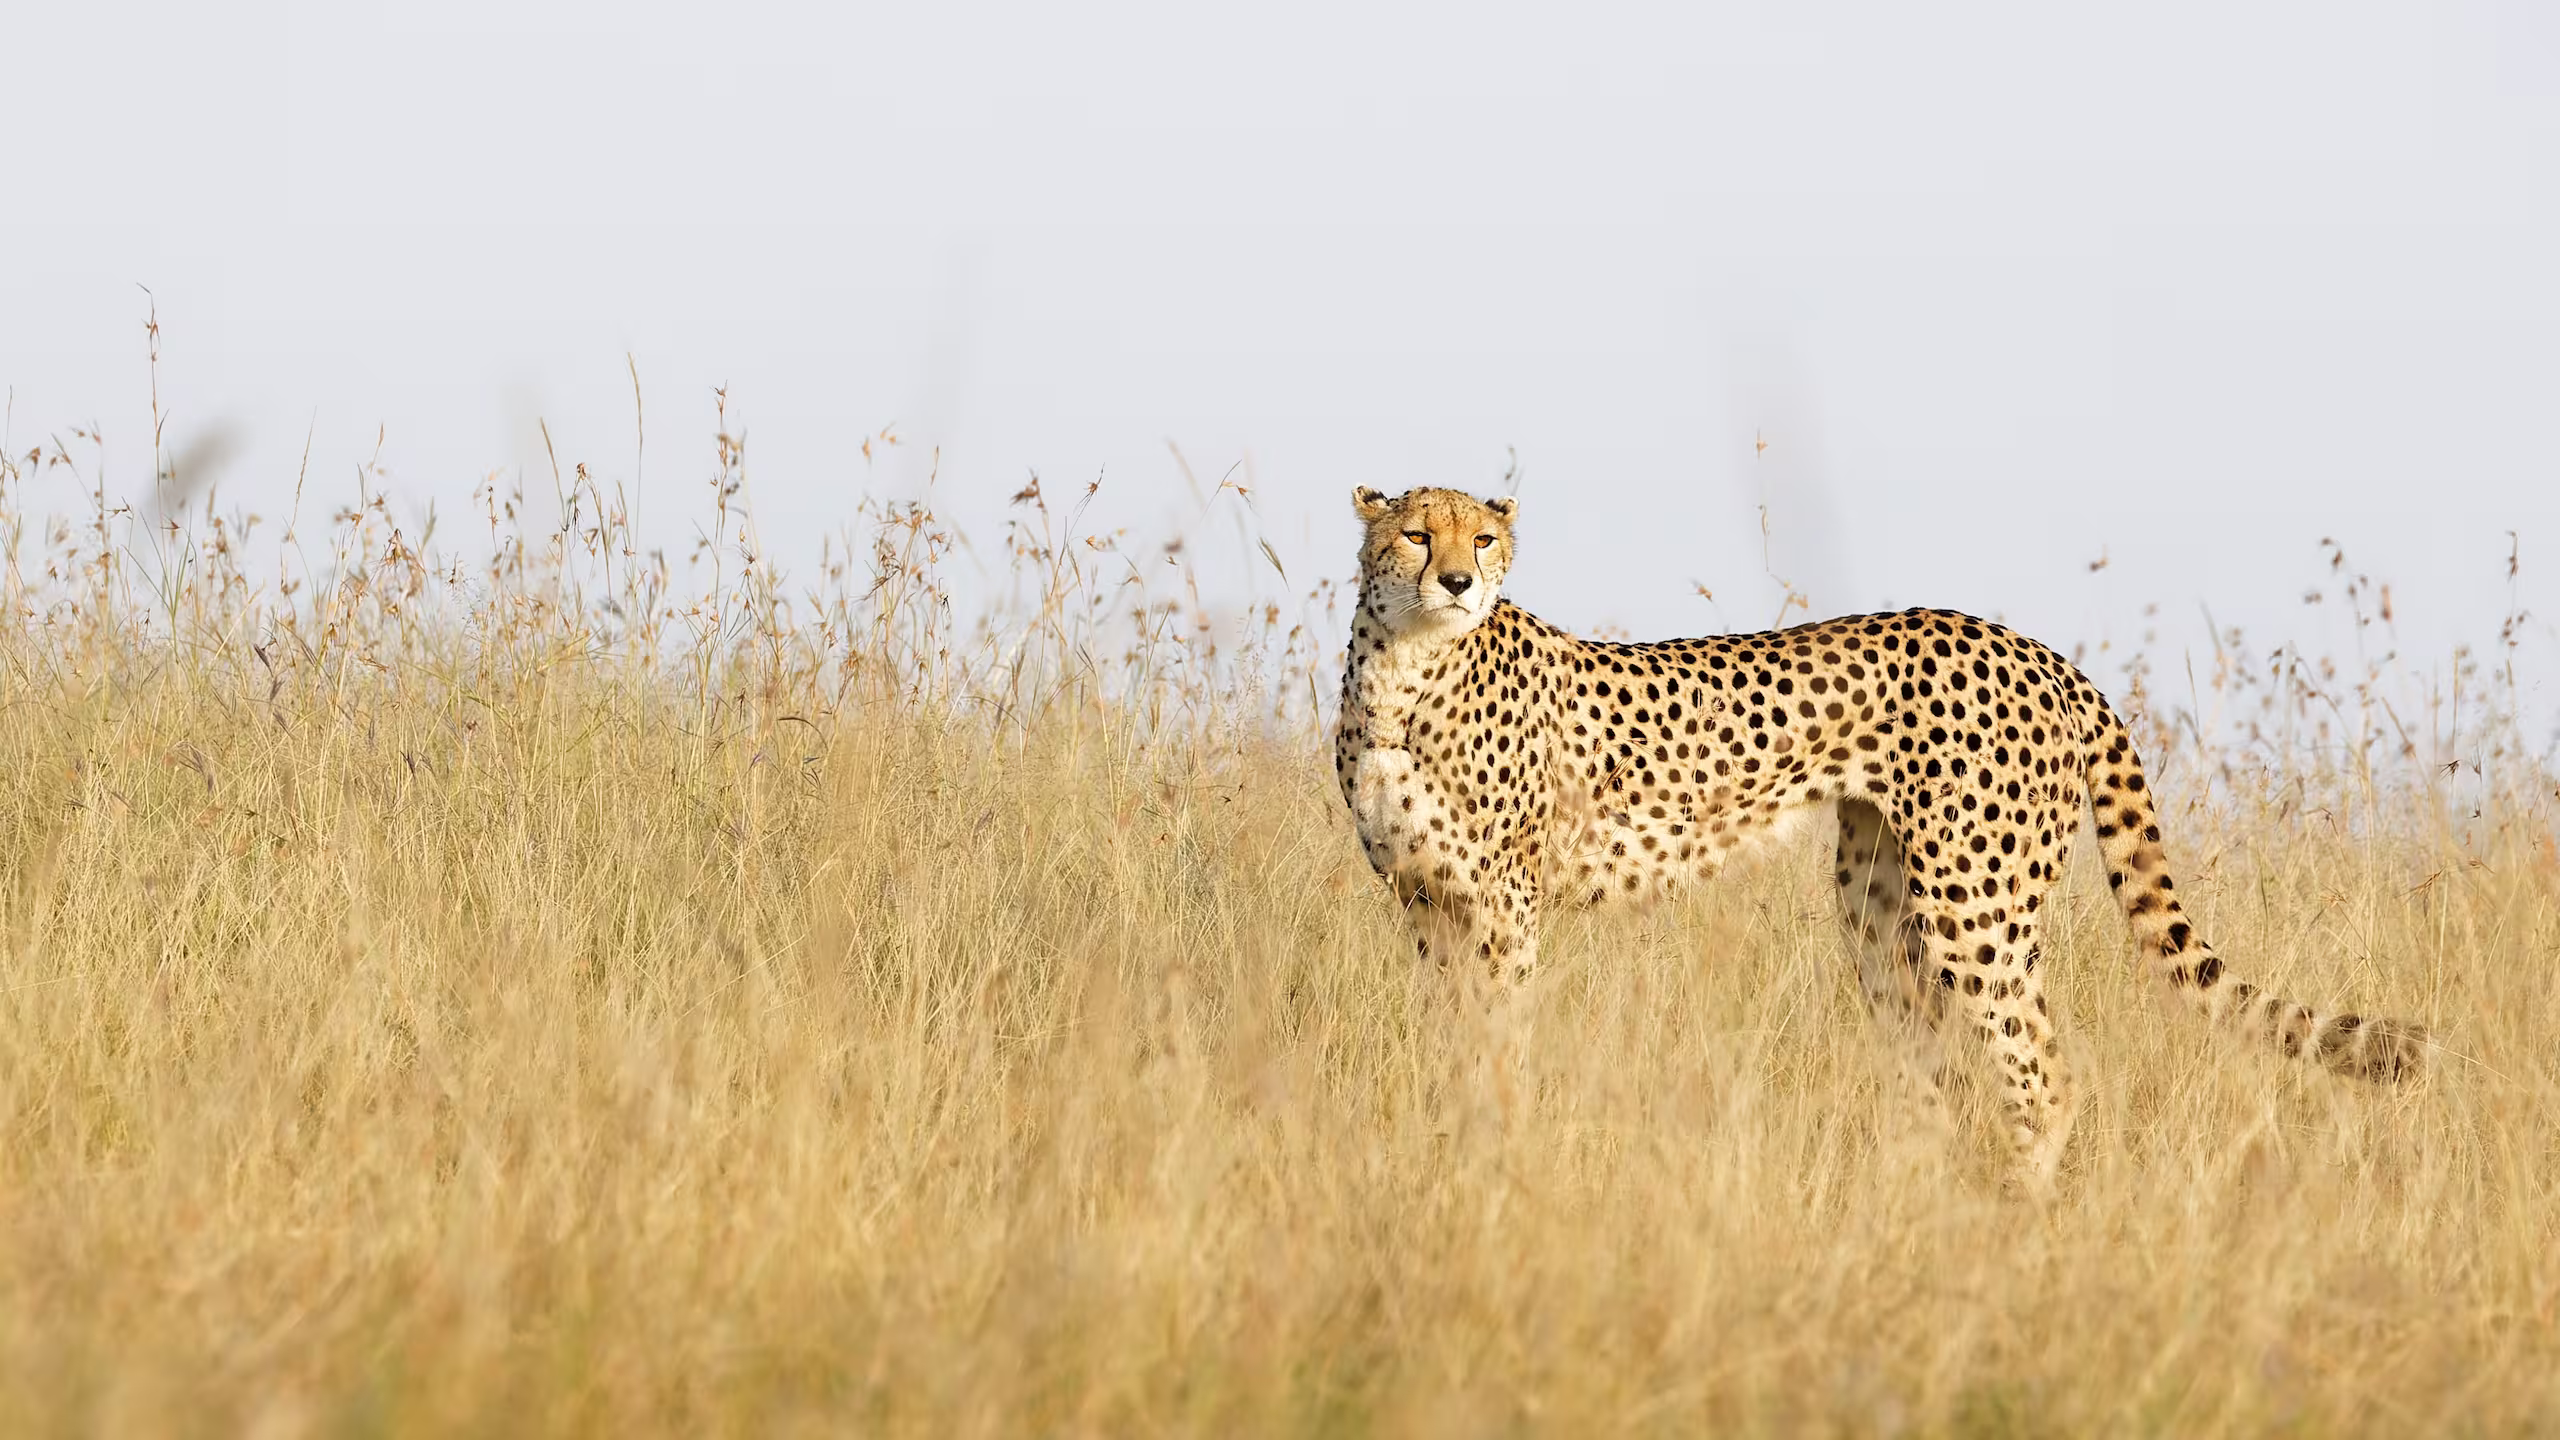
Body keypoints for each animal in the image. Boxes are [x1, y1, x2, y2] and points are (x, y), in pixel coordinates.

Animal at [1333, 484, 2427, 1189]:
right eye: (1415, 534)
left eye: (1483, 538)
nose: (1459, 581)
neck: (1406, 670)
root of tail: (2042, 650)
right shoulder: (1425, 901)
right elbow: (1450, 1041)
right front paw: (1446, 1140)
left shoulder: (1504, 905)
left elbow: (1497, 1044)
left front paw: (1493, 1155)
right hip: (1877, 909)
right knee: (1936, 1070)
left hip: (1976, 905)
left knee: (2042, 1071)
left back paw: (2012, 1217)